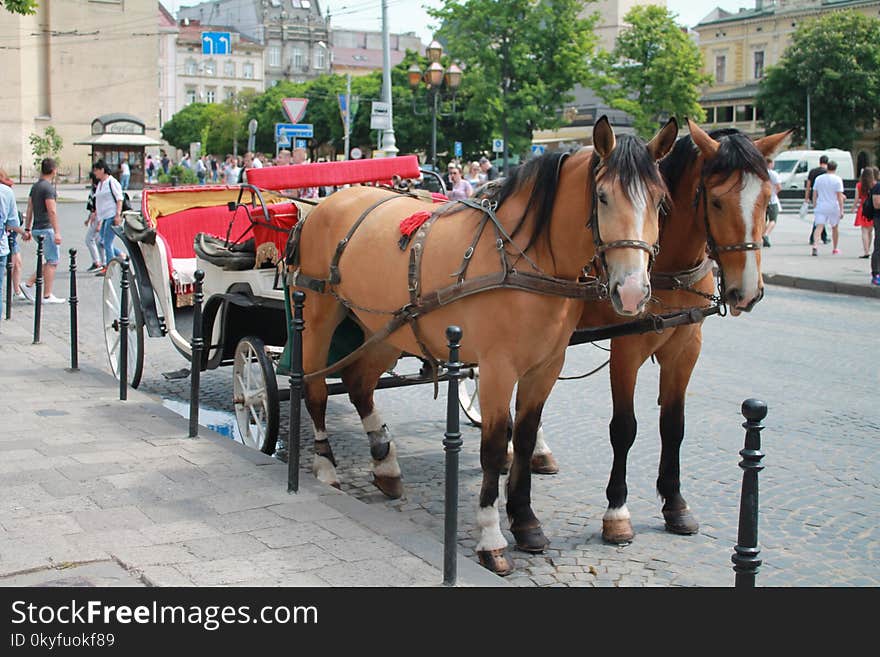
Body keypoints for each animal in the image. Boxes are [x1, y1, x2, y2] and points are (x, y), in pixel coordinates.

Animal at [292, 118, 676, 576]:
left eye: (660, 202)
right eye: (602, 196)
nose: (632, 291)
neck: (522, 258)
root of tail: (328, 202)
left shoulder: (546, 366)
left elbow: (523, 439)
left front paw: (526, 522)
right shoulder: (497, 368)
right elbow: (494, 448)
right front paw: (491, 538)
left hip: (384, 326)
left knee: (358, 381)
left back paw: (385, 463)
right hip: (319, 314)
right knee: (314, 388)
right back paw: (325, 465)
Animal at [524, 119, 788, 544]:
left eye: (767, 200)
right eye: (716, 201)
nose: (746, 291)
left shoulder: (686, 348)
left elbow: (673, 426)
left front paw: (675, 503)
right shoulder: (626, 349)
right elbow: (624, 428)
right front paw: (617, 510)